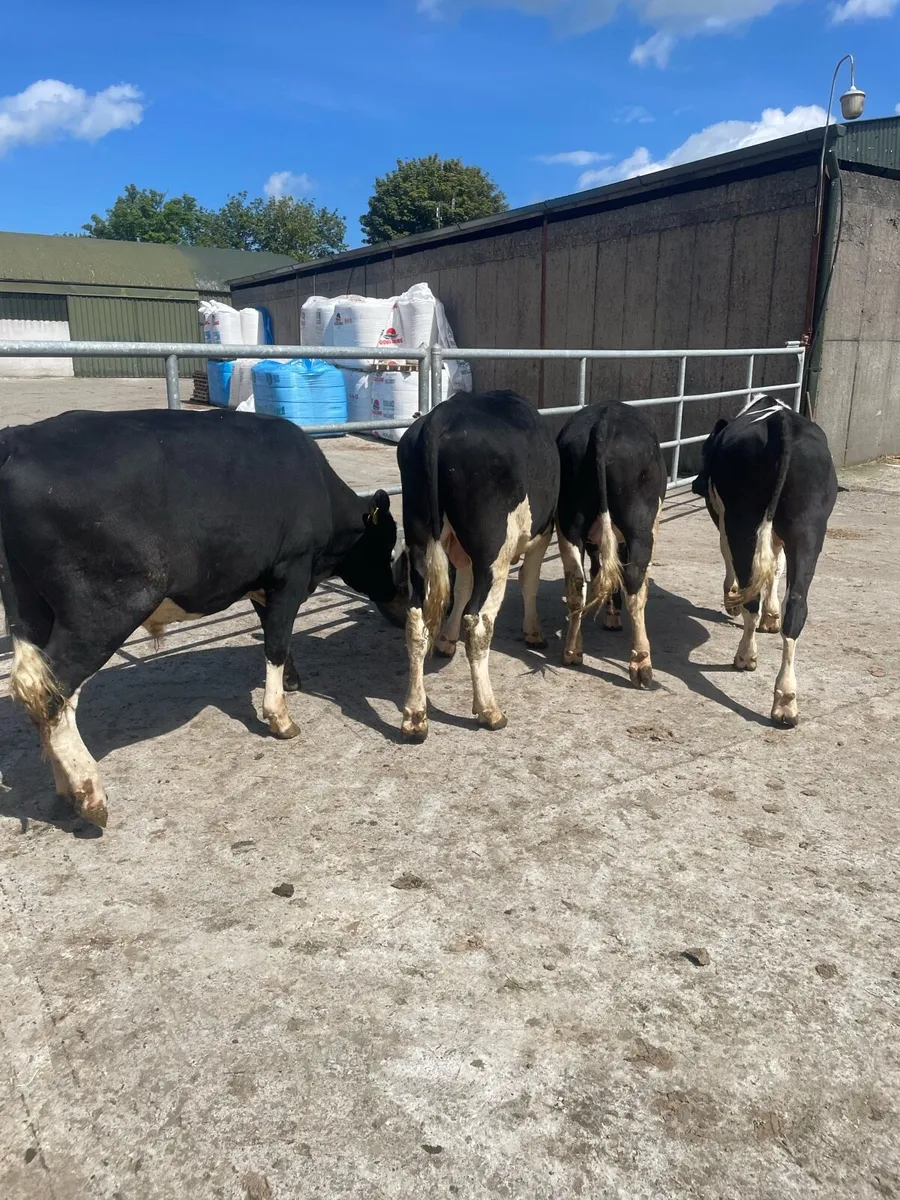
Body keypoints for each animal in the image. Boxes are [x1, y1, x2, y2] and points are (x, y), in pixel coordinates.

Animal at [0, 408, 401, 828]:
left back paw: (66, 790)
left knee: (37, 686)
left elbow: (276, 634)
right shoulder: (291, 570)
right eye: (386, 544)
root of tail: (18, 439)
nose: (396, 596)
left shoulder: (262, 581)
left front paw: (291, 680)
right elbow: (276, 642)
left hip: (32, 610)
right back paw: (90, 794)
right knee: (52, 689)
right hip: (103, 610)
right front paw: (280, 717)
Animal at [396, 390, 559, 742]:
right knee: (479, 623)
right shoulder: (542, 533)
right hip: (494, 554)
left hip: (419, 542)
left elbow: (461, 587)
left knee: (416, 620)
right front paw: (534, 632)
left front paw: (446, 639)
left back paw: (415, 715)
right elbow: (529, 581)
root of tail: (442, 415)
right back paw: (489, 710)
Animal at [556, 401, 667, 686]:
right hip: (641, 525)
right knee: (634, 581)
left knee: (577, 582)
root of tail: (605, 419)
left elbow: (599, 570)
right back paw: (642, 664)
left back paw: (572, 651)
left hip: (569, 521)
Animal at [692, 393, 838, 727]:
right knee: (796, 605)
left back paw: (746, 656)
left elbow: (736, 561)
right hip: (808, 527)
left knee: (751, 595)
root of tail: (782, 422)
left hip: (741, 521)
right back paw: (786, 701)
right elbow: (776, 567)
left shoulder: (722, 519)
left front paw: (731, 599)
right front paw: (772, 618)